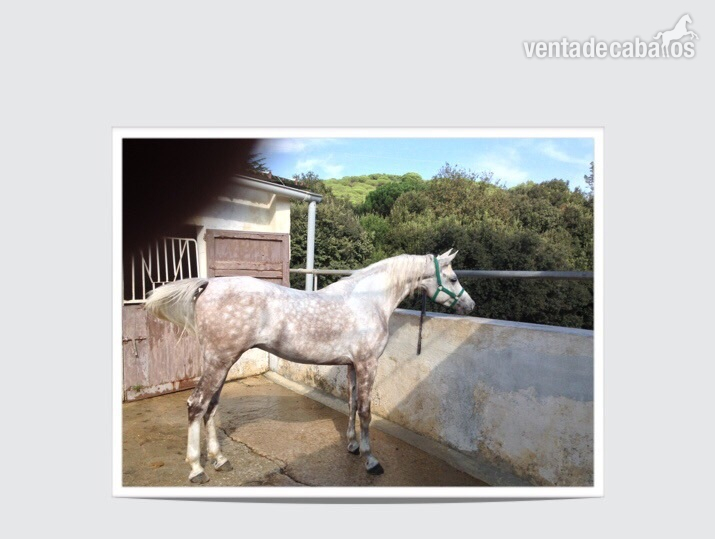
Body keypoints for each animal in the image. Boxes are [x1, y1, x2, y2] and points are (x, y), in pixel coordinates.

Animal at [144, 250, 475, 483]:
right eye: (453, 278)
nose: (470, 306)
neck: (369, 301)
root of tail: (209, 284)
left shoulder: (352, 365)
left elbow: (351, 404)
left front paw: (352, 446)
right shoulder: (368, 364)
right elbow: (366, 411)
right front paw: (370, 461)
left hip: (223, 362)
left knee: (211, 407)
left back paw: (220, 460)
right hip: (219, 361)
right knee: (196, 405)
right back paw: (197, 469)